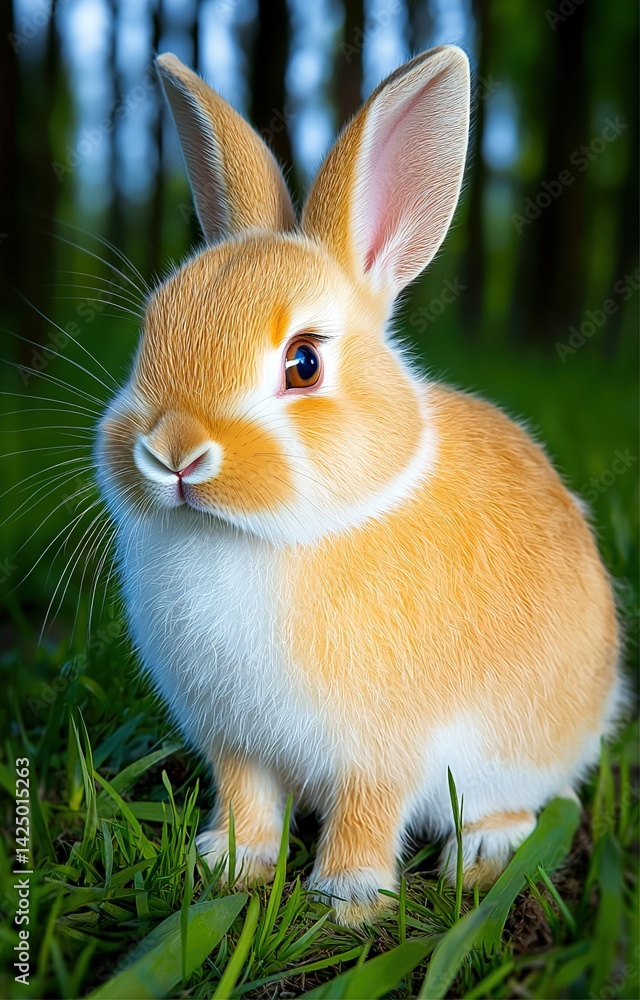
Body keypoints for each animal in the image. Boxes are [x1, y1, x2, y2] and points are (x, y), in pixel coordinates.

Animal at [95, 45, 623, 926]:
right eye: (151, 330)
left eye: (304, 362)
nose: (172, 453)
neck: (273, 535)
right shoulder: (236, 742)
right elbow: (246, 797)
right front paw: (228, 862)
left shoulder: (386, 749)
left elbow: (369, 812)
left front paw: (346, 897)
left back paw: (483, 853)